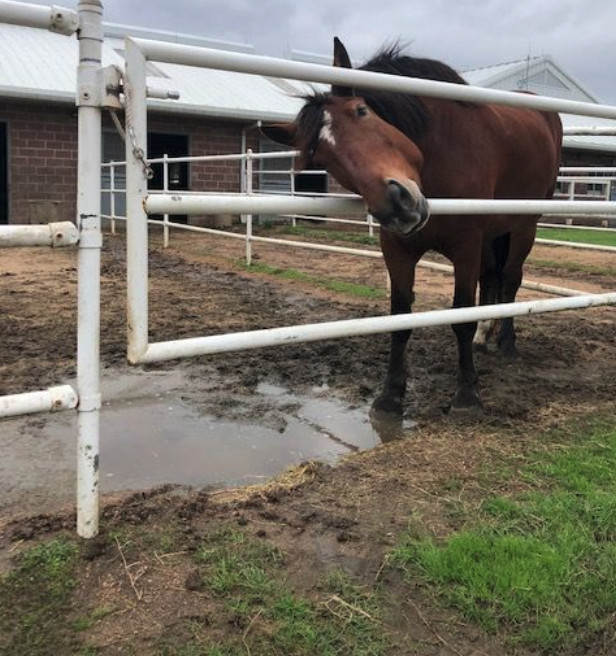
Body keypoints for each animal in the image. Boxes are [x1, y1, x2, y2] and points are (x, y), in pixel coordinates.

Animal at [262, 37, 564, 416]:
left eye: (362, 111)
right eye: (321, 158)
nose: (399, 203)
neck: (439, 152)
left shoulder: (466, 245)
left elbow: (461, 317)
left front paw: (466, 395)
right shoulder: (398, 249)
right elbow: (400, 317)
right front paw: (390, 394)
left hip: (524, 225)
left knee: (510, 279)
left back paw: (506, 342)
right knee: (492, 278)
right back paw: (485, 336)